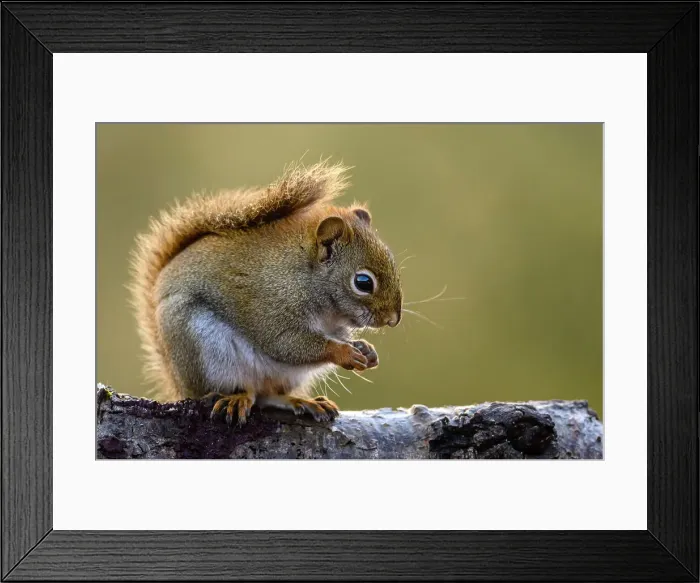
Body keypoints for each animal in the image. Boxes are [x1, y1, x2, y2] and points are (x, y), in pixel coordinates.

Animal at [129, 159, 403, 425]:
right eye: (363, 282)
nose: (393, 319)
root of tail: (179, 384)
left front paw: (366, 349)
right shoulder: (272, 304)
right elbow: (286, 343)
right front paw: (344, 352)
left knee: (268, 395)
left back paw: (301, 401)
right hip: (203, 349)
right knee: (241, 390)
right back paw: (237, 397)